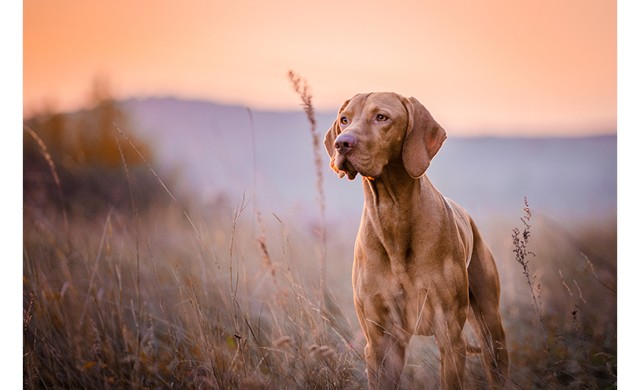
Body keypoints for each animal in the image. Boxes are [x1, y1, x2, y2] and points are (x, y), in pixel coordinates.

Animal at [324, 93, 510, 388]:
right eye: (344, 119)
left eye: (381, 117)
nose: (342, 143)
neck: (392, 215)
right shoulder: (380, 342)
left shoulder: (449, 336)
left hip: (491, 326)